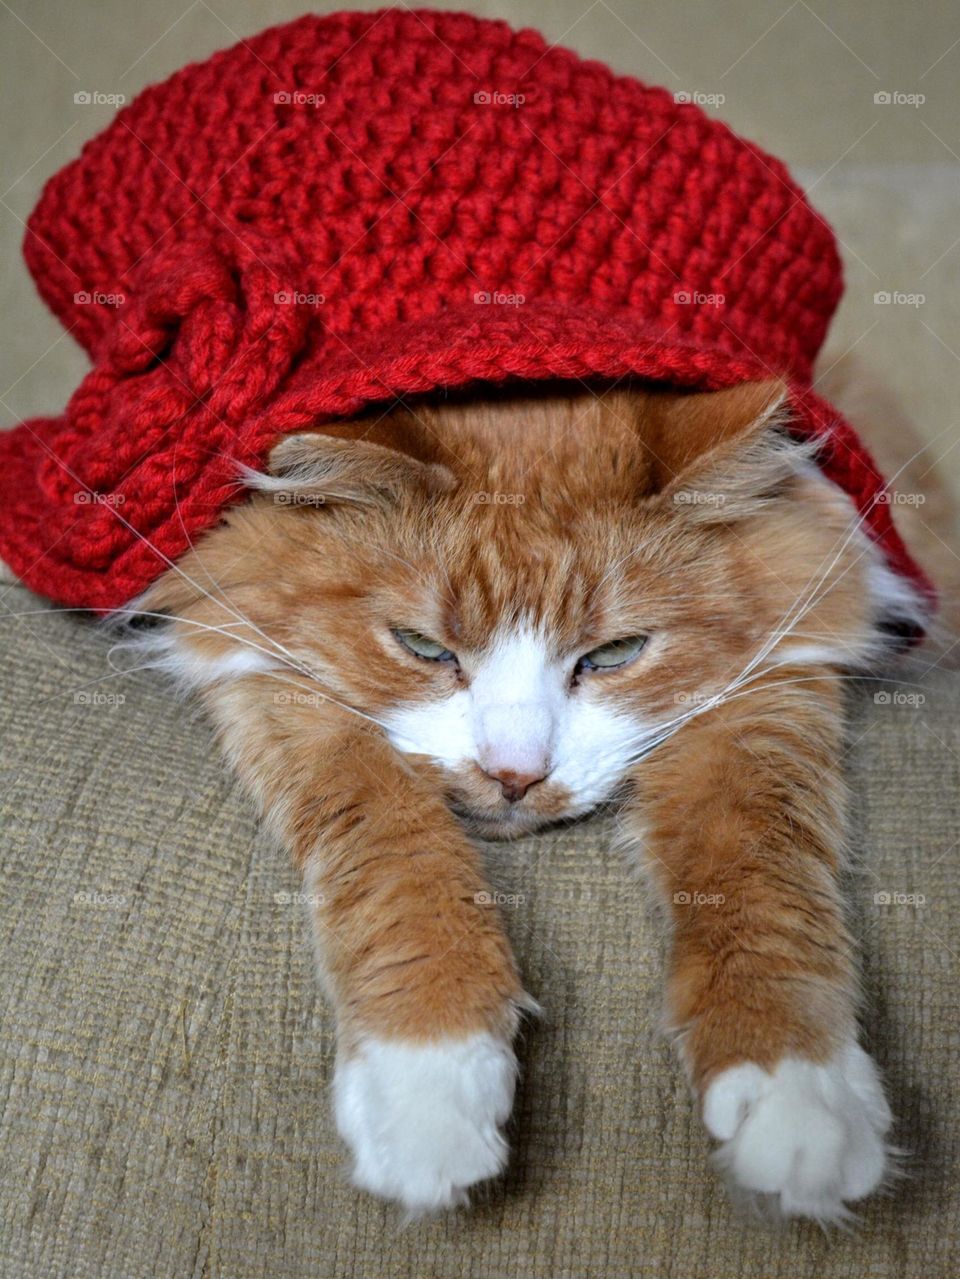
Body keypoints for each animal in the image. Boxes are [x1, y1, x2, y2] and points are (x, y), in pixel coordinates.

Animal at [125, 376, 925, 1217]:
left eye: (615, 653)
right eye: (423, 647)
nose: (515, 774)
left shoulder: (776, 673)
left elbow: (760, 874)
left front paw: (801, 1099)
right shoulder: (264, 664)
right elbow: (396, 855)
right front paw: (428, 1081)